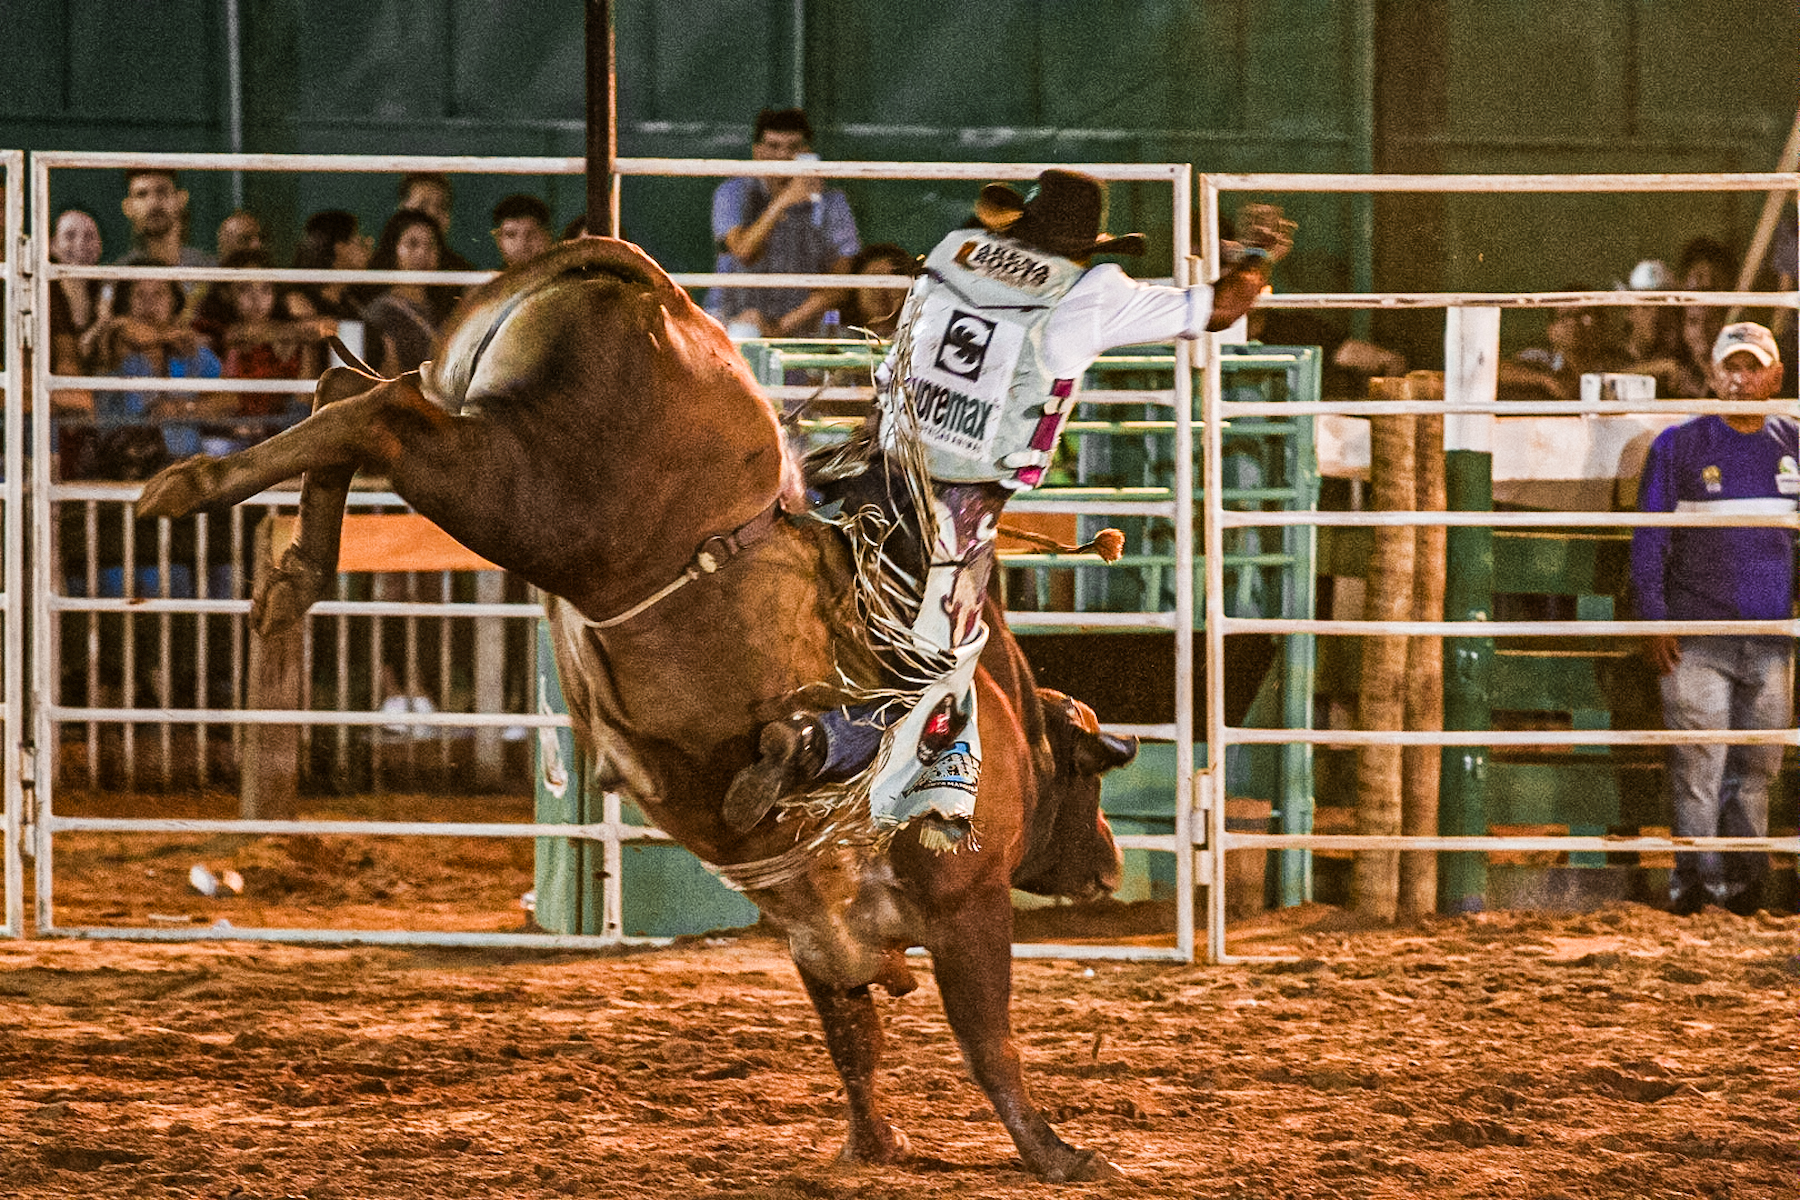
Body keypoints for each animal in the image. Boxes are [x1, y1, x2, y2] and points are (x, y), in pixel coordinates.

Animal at [140, 237, 1130, 1180]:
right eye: (1091, 783)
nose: (1111, 863)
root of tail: (645, 284)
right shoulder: (968, 902)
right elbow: (988, 1041)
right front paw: (1059, 1154)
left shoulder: (817, 921)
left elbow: (854, 1033)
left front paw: (872, 1143)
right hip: (537, 498)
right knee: (376, 418)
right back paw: (191, 490)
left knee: (352, 392)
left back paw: (285, 575)